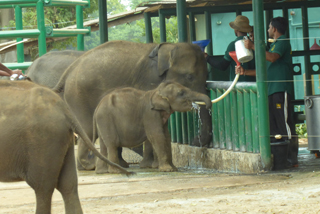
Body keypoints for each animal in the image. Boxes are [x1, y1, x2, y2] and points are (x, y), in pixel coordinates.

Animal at [52, 39, 212, 171]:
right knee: (88, 130)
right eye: (189, 77)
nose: (196, 141)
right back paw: (90, 166)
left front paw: (150, 165)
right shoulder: (150, 81)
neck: (169, 47)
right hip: (79, 96)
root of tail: (68, 71)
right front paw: (150, 166)